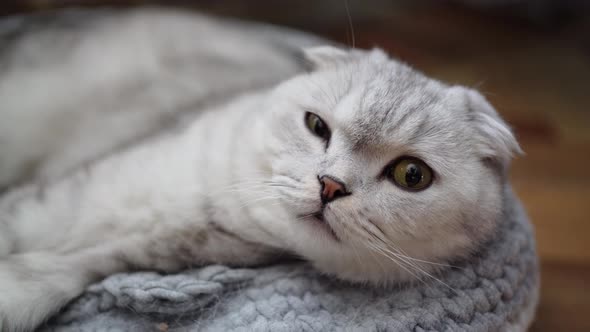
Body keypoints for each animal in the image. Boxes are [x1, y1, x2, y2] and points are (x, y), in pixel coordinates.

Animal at [0, 7, 524, 332]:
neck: (201, 206)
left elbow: (51, 273)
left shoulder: (137, 255)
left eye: (411, 176)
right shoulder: (55, 200)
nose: (330, 185)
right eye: (316, 126)